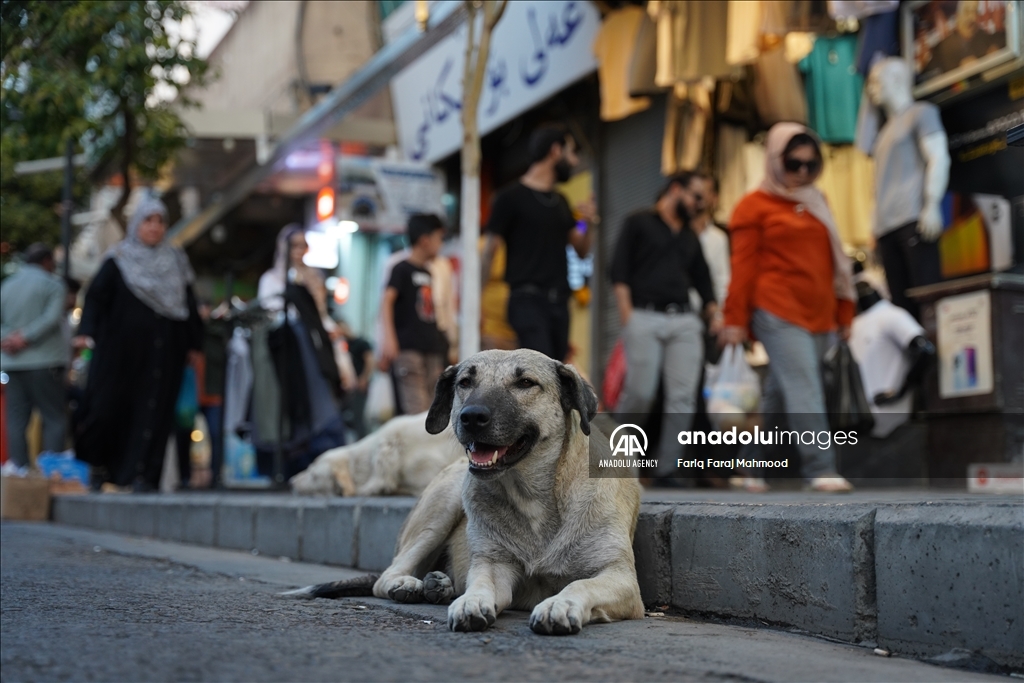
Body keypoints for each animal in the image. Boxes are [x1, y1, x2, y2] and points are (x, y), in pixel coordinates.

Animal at [284, 350, 643, 638]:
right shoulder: (493, 565)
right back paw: (413, 585)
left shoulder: (621, 578)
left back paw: (438, 586)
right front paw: (471, 601)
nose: (471, 416)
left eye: (526, 383)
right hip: (445, 502)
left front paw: (560, 604)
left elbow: (580, 583)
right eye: (465, 382)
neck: (534, 499)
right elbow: (481, 583)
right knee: (385, 577)